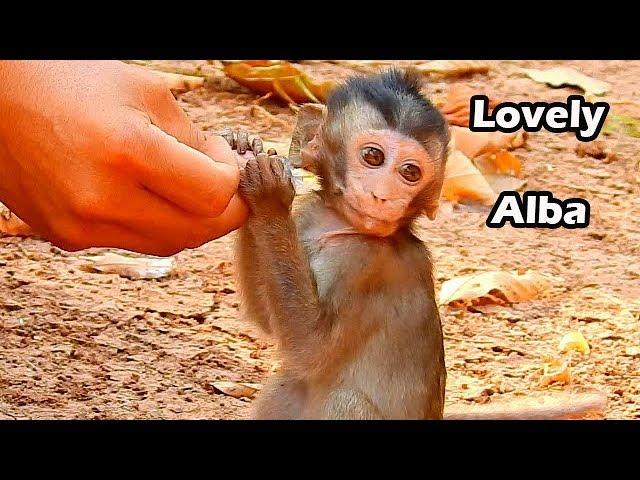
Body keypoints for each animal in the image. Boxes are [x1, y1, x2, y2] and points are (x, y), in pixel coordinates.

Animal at [232, 69, 608, 418]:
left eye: (410, 173)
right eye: (373, 157)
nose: (383, 196)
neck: (338, 225)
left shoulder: (365, 264)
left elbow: (310, 347)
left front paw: (269, 195)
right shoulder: (307, 218)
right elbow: (268, 322)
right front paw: (244, 149)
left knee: (342, 397)